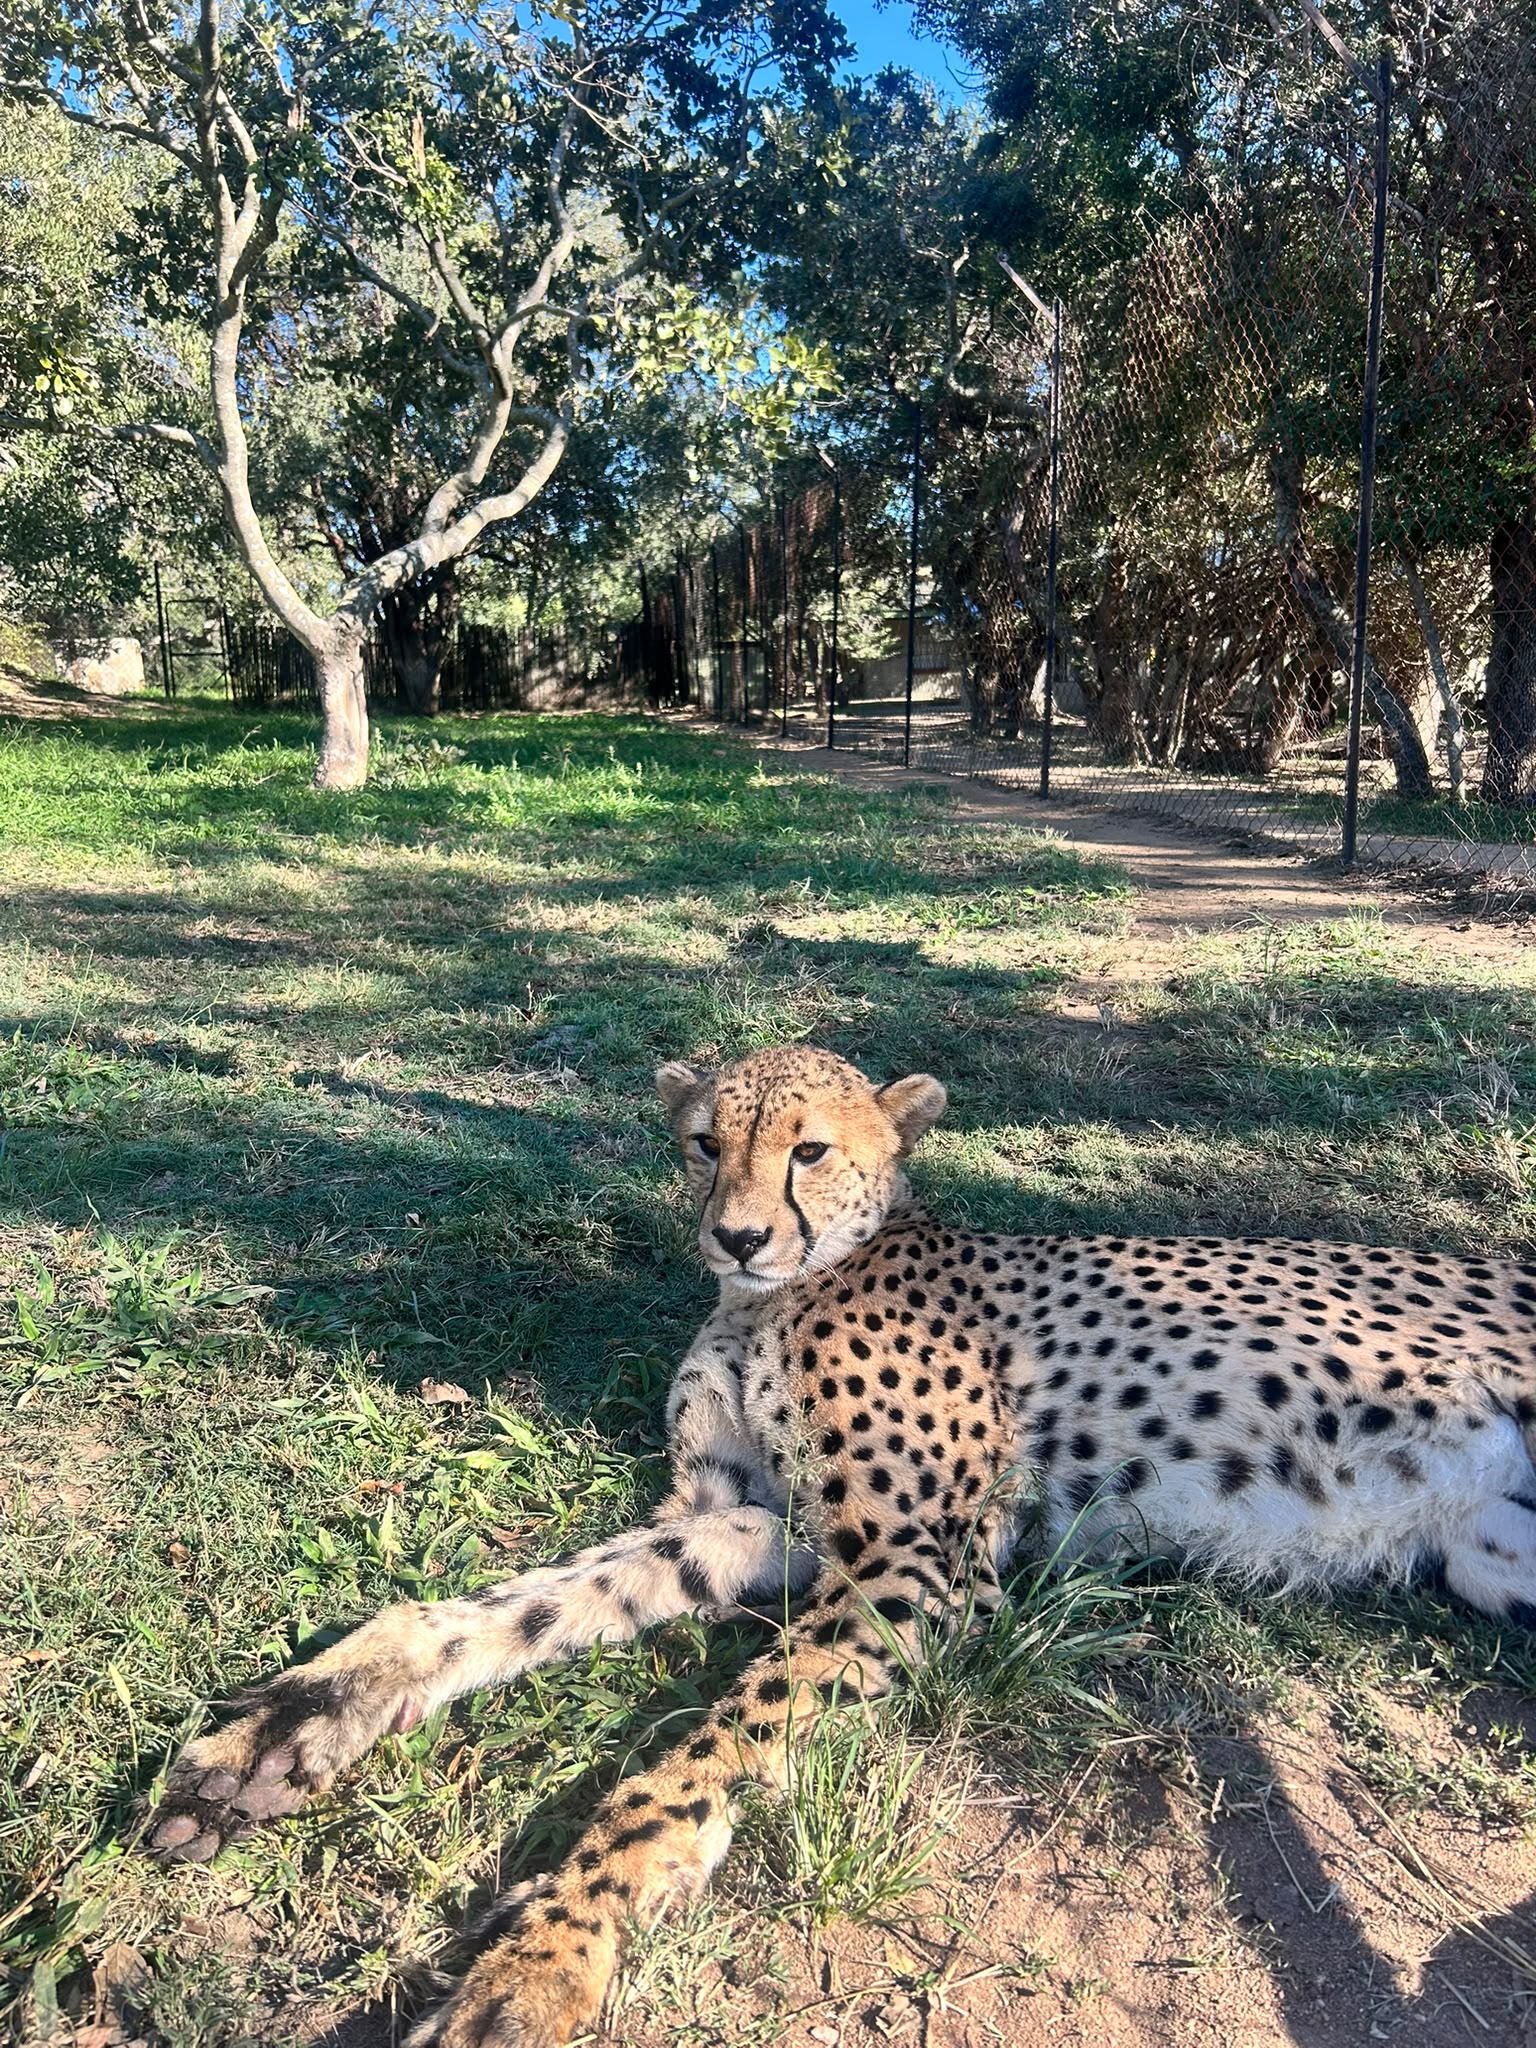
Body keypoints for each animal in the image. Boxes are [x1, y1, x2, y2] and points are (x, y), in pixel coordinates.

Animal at [145, 1044, 1536, 2047]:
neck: (774, 1298)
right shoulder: (746, 1525)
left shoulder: (918, 1562)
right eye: (706, 1145)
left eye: (809, 1148)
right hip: (1495, 1557)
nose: (737, 1233)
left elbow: (700, 1748)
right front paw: (293, 1722)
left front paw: (550, 1954)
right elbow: (521, 1604)